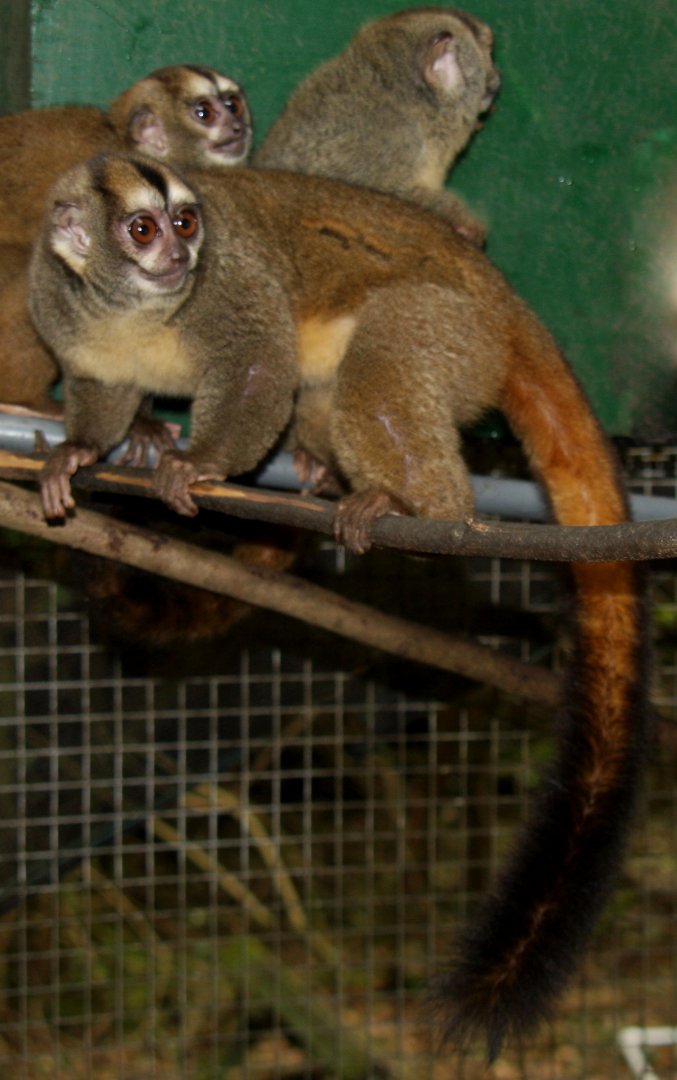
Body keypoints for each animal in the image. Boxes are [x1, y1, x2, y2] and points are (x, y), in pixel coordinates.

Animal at [29, 153, 649, 1059]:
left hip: (455, 330)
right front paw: (83, 451)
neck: (129, 307)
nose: (178, 255)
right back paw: (323, 478)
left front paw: (197, 465)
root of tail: (503, 298)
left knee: (380, 362)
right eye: (141, 229)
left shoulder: (227, 287)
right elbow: (100, 386)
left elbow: (259, 370)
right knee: (325, 394)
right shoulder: (57, 307)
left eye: (187, 223)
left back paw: (421, 515)